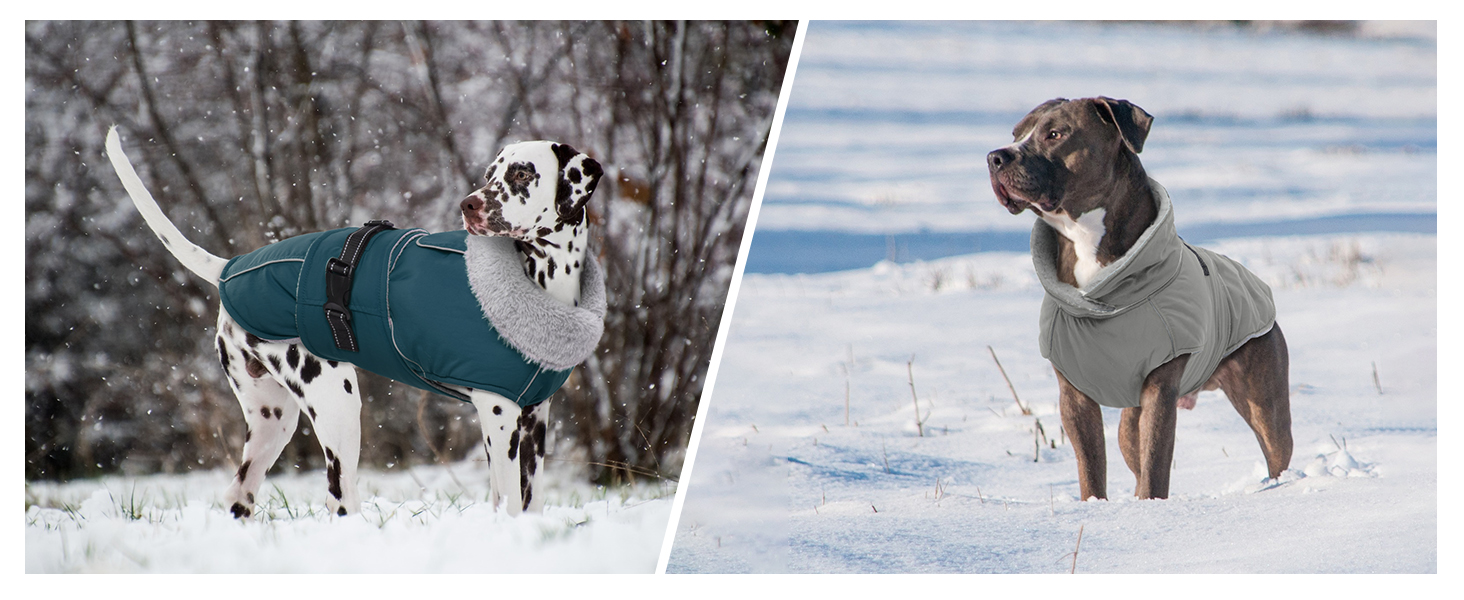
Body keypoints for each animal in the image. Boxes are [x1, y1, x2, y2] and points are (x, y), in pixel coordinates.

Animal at [106, 128, 603, 518]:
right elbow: (508, 502)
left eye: (521, 173)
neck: (543, 281)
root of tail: (231, 268)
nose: (469, 204)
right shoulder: (497, 414)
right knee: (340, 499)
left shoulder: (534, 421)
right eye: (489, 175)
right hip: (338, 406)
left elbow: (527, 501)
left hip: (273, 422)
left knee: (238, 495)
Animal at [989, 97, 1288, 500]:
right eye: (1016, 133)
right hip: (1130, 421)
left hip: (1265, 401)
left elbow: (1156, 465)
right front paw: (1094, 505)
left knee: (1276, 449)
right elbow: (1091, 467)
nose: (995, 157)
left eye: (1055, 134)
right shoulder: (1074, 395)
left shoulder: (1160, 389)